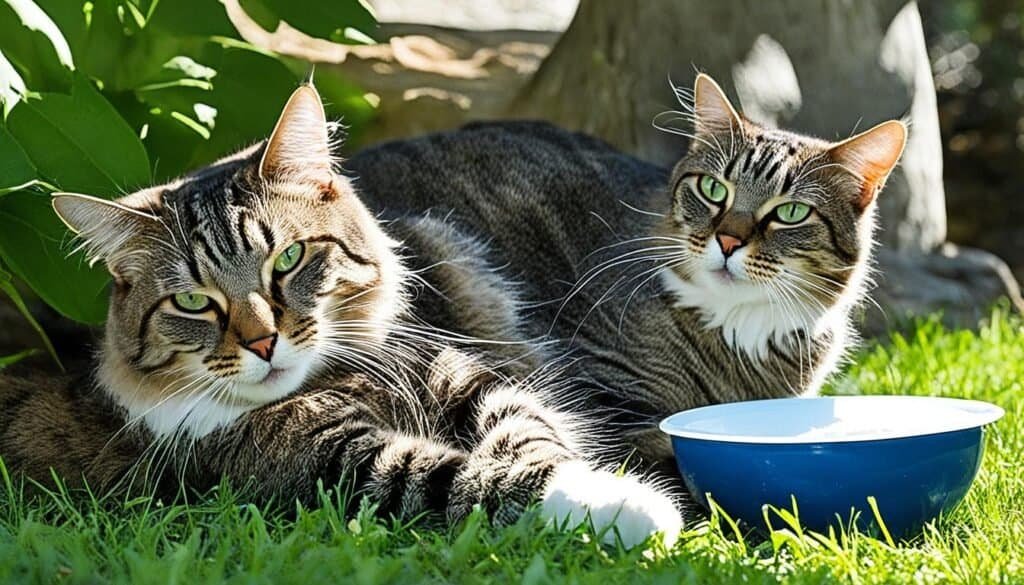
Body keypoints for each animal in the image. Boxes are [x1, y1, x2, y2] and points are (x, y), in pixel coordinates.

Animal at [2, 83, 688, 549]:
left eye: (288, 258)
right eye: (193, 301)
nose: (263, 342)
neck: (331, 381)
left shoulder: (461, 375)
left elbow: (531, 433)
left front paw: (596, 477)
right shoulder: (330, 466)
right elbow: (466, 477)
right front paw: (630, 507)